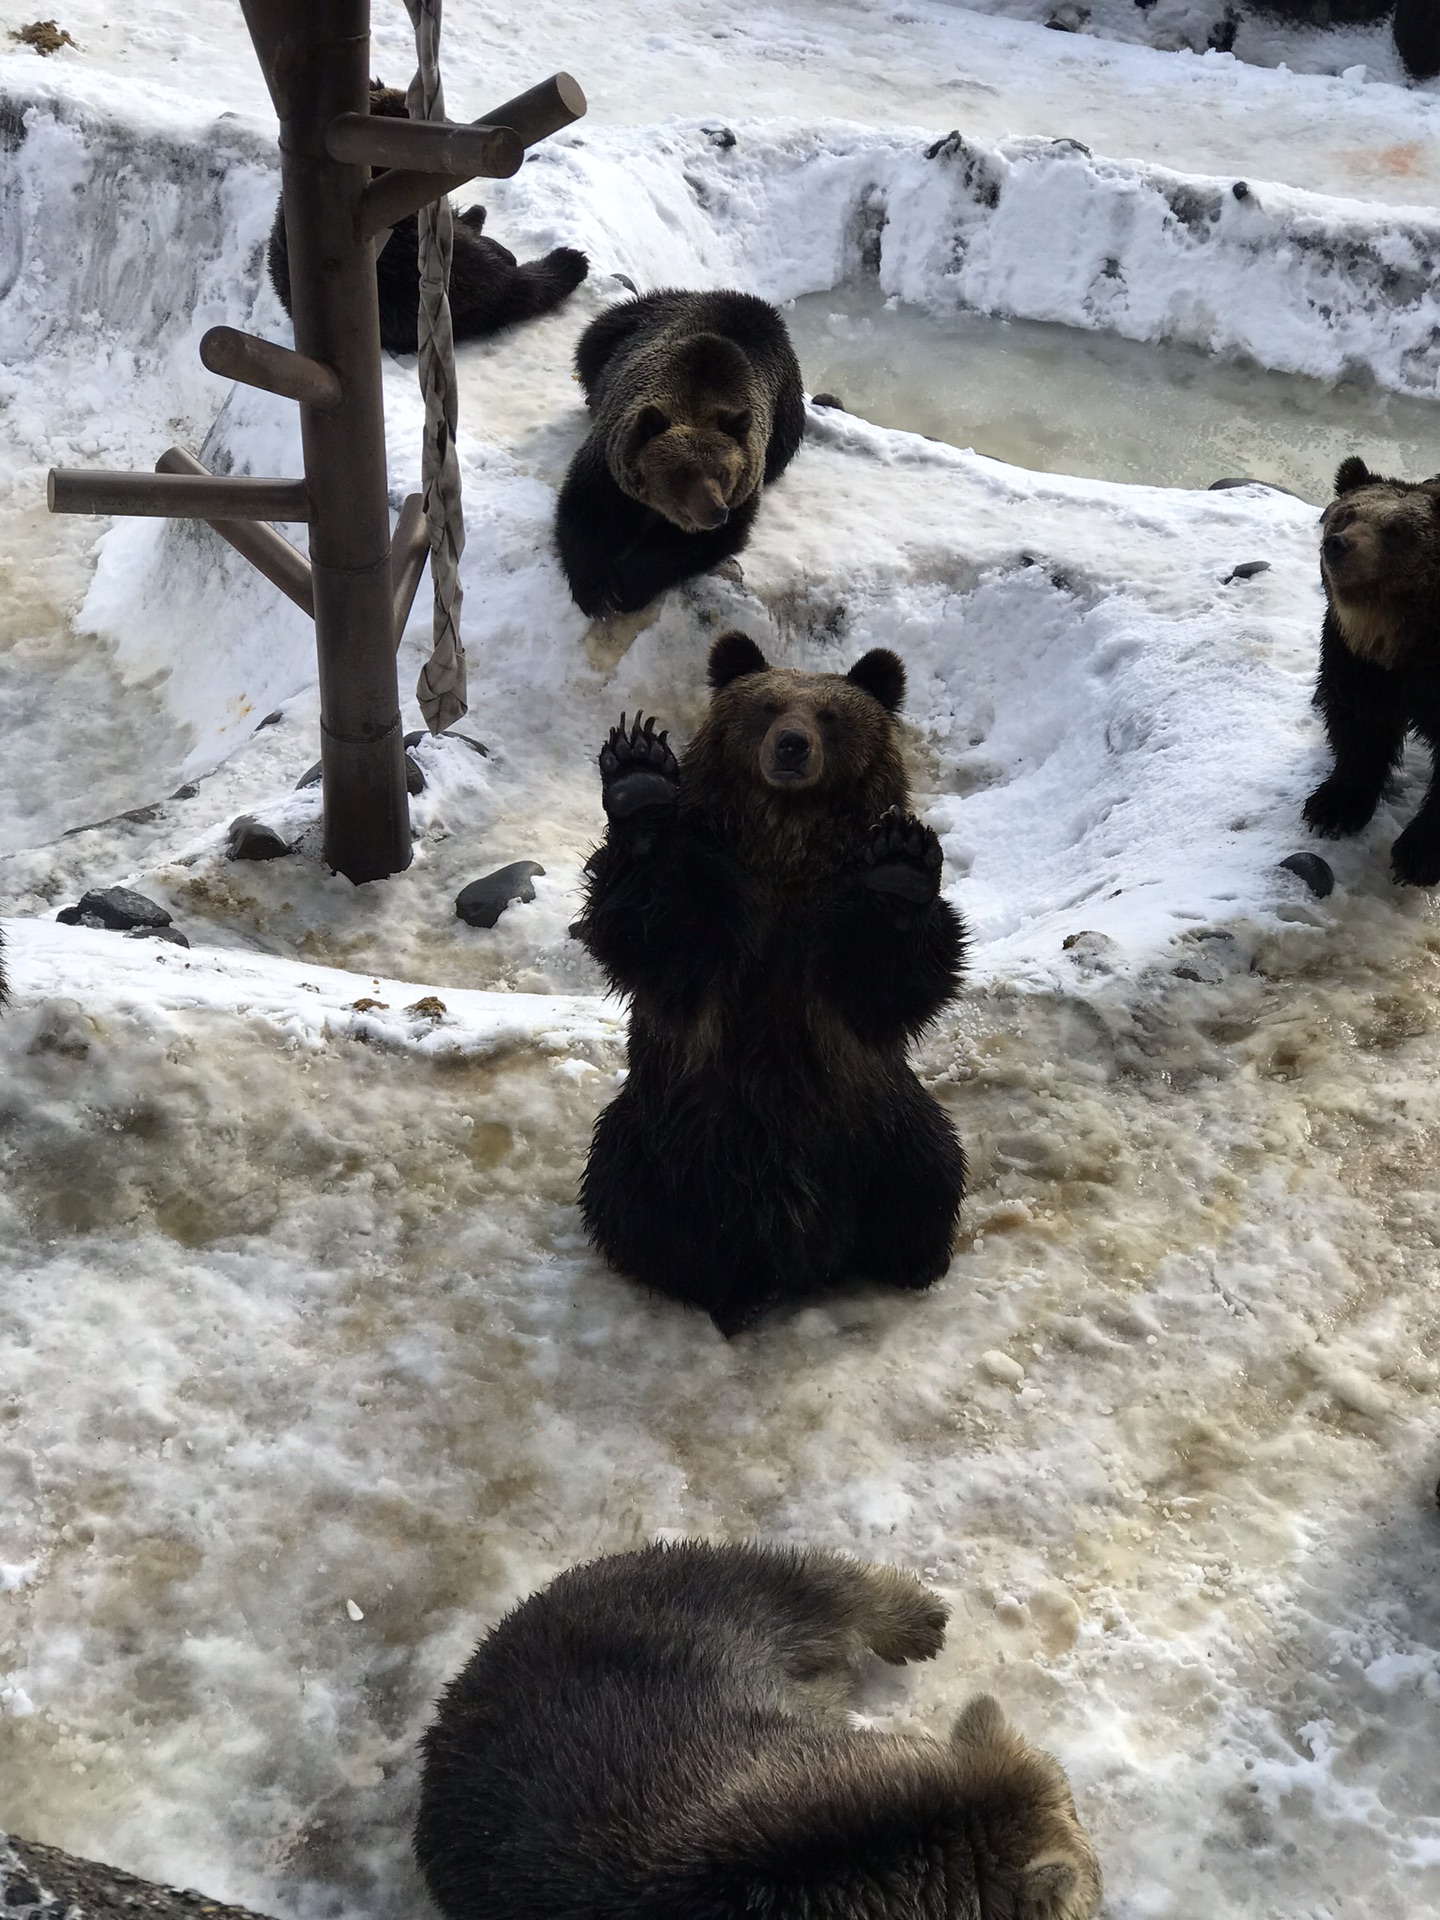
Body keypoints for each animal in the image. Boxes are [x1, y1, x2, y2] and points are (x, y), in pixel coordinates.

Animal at [552, 288, 806, 618]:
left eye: (723, 472)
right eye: (682, 472)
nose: (716, 510)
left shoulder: (745, 484)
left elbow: (692, 544)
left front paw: (628, 587)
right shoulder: (609, 461)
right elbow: (588, 510)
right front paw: (599, 592)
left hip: (787, 411)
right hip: (630, 322)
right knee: (592, 342)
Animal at [576, 629, 971, 1336]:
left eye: (831, 715)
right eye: (766, 707)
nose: (791, 745)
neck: (785, 855)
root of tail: (798, 1250)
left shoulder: (826, 936)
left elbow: (892, 980)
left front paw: (901, 868)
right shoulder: (723, 916)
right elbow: (651, 930)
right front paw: (640, 782)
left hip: (879, 1124)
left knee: (929, 1173)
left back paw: (911, 1261)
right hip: (668, 1137)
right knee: (632, 1199)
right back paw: (719, 1286)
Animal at [1305, 456, 1440, 883]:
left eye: (1397, 530)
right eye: (1347, 514)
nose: (1338, 544)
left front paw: (1417, 854)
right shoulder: (1356, 660)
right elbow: (1359, 725)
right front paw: (1334, 806)